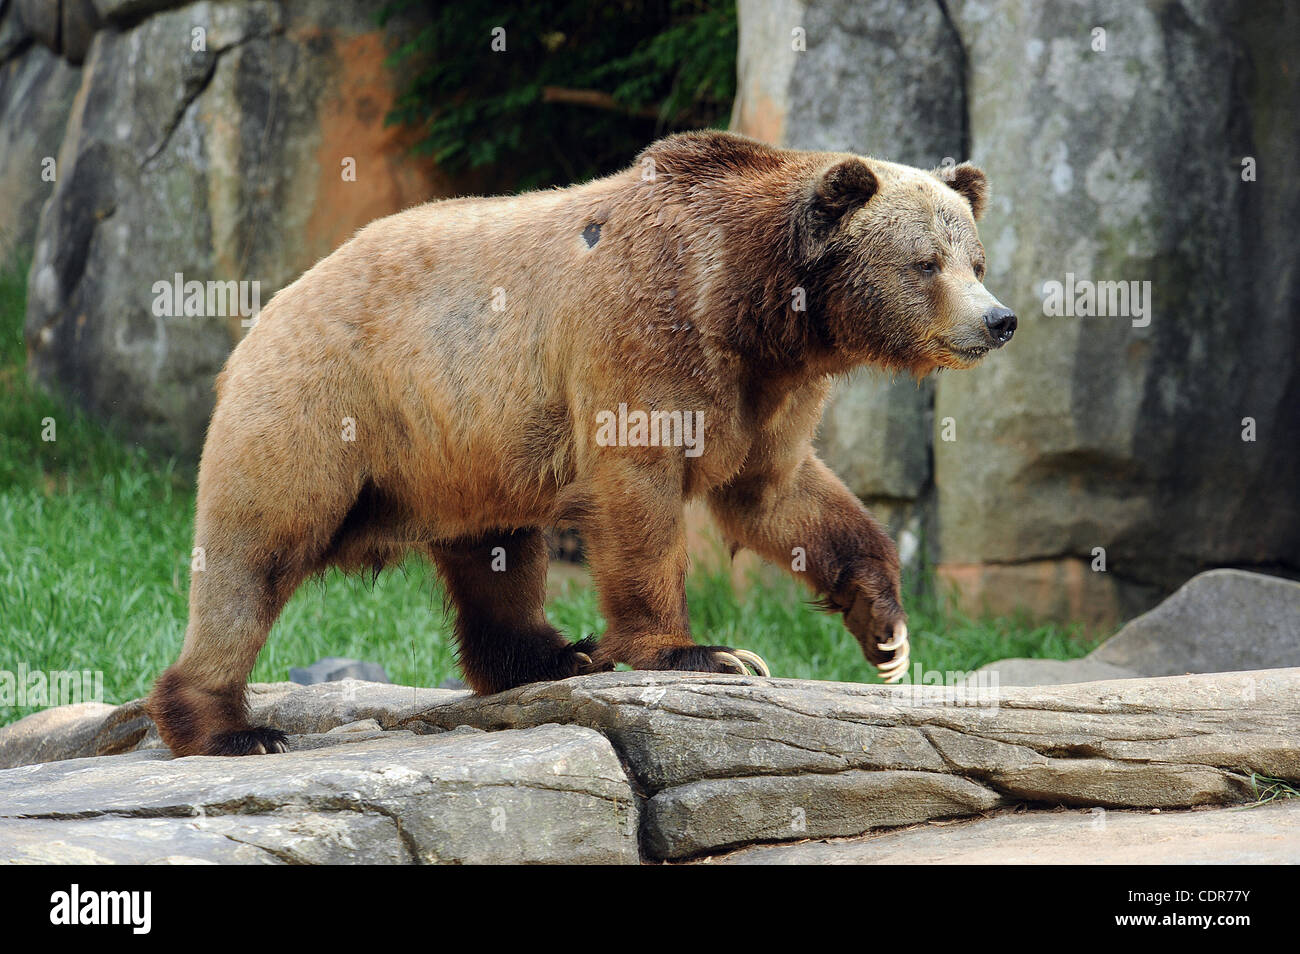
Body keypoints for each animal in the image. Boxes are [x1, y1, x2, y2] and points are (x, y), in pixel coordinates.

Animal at [147, 130, 1014, 757]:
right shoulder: (643, 334)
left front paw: (887, 632)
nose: (997, 319)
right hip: (325, 409)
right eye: (924, 263)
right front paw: (707, 653)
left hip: (464, 451)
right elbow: (640, 497)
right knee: (254, 555)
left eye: (974, 257)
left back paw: (555, 655)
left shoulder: (771, 391)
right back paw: (231, 728)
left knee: (498, 561)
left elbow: (781, 496)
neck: (755, 304)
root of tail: (265, 312)